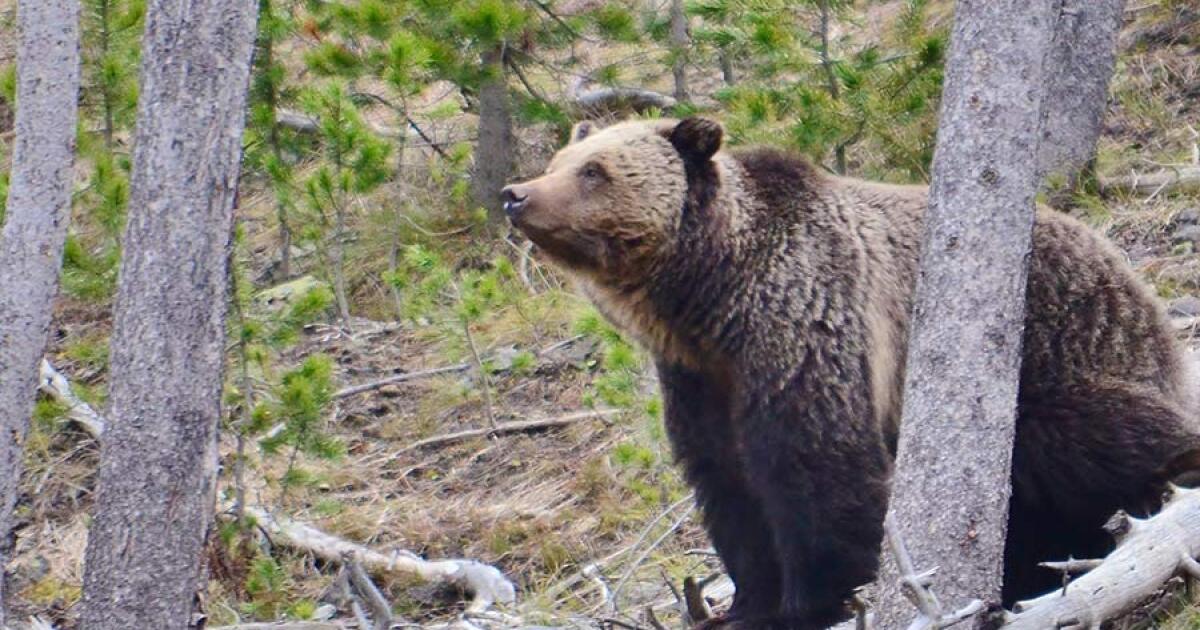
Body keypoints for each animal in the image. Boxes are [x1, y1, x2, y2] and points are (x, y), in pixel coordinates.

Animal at [501, 117, 1200, 628]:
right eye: (563, 159)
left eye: (594, 170)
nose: (517, 194)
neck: (710, 300)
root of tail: (1133, 280)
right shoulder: (699, 380)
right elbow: (727, 483)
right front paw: (746, 605)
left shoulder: (806, 322)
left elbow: (817, 467)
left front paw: (814, 603)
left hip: (1062, 350)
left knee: (1092, 434)